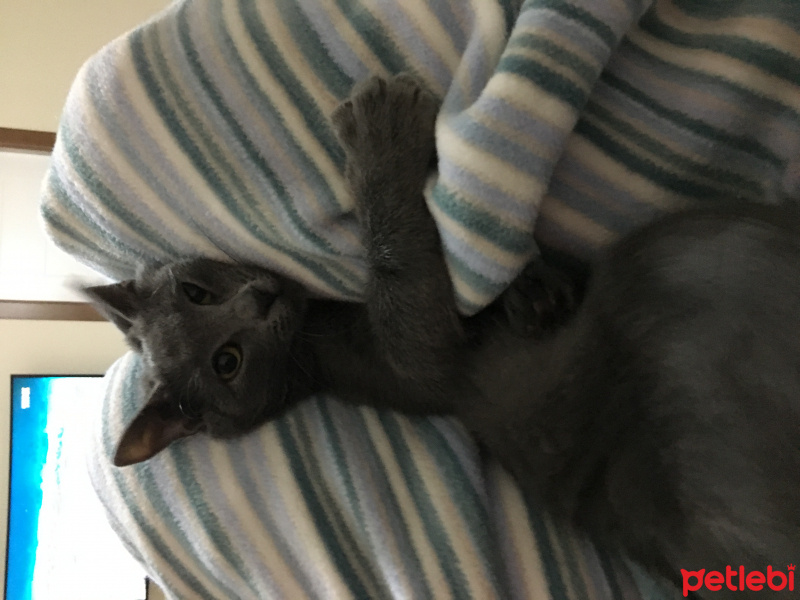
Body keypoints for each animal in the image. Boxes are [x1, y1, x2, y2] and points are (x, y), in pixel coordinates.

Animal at [87, 75, 800, 596]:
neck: (313, 331)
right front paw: (382, 133)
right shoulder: (418, 363)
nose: (260, 299)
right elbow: (409, 286)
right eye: (227, 361)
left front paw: (537, 287)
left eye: (196, 292)